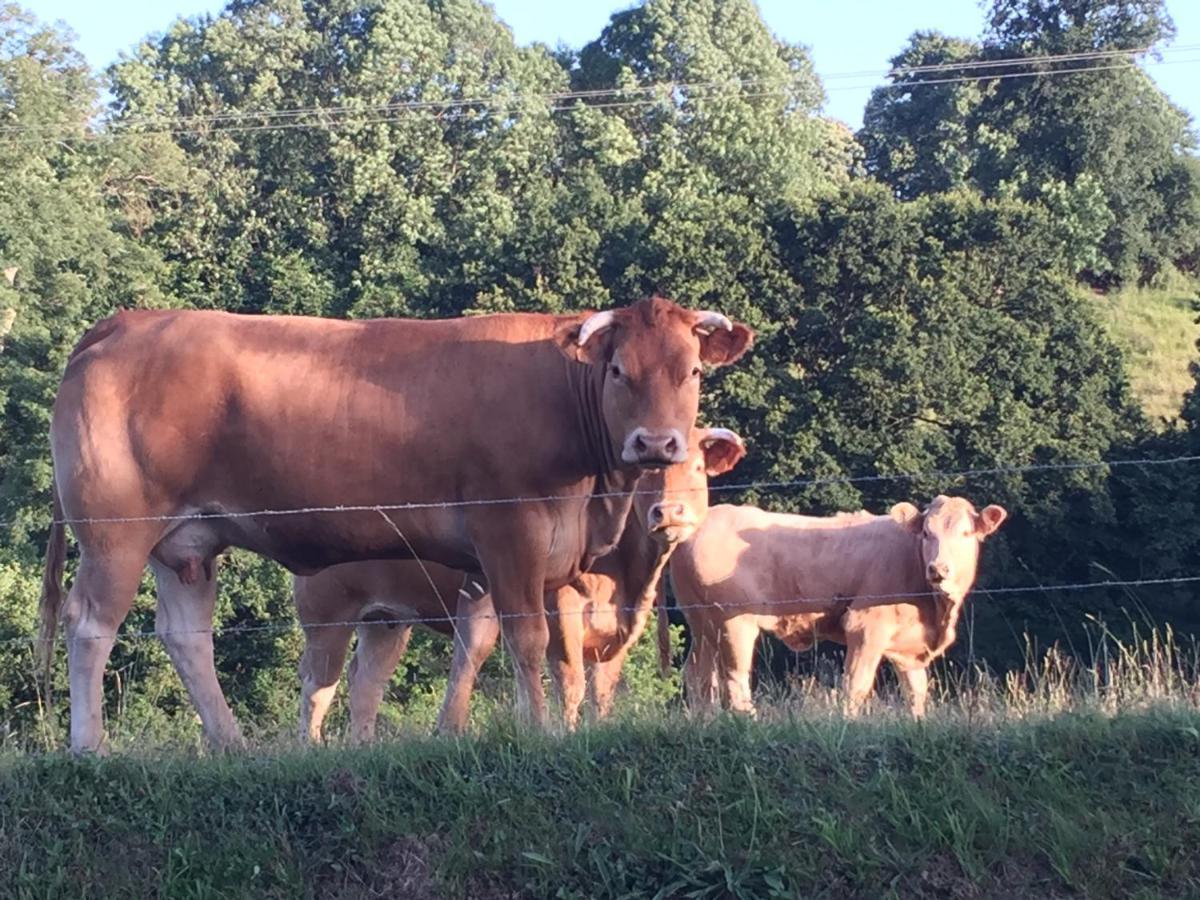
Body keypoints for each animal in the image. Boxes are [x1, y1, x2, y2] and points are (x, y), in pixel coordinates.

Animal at [295, 427, 744, 744]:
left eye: (698, 468)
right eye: (647, 475)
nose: (668, 512)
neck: (627, 574)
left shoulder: (621, 623)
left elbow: (602, 689)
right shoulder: (561, 606)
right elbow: (570, 680)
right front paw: (567, 734)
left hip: (386, 620)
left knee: (366, 682)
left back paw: (362, 745)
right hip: (326, 614)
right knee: (318, 685)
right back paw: (310, 747)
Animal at [672, 501, 1008, 720]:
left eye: (966, 533)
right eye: (927, 533)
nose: (938, 569)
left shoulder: (910, 648)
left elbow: (916, 693)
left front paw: (918, 724)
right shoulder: (865, 628)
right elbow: (856, 685)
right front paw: (850, 723)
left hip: (702, 622)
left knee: (699, 673)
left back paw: (705, 721)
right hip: (734, 621)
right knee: (734, 676)